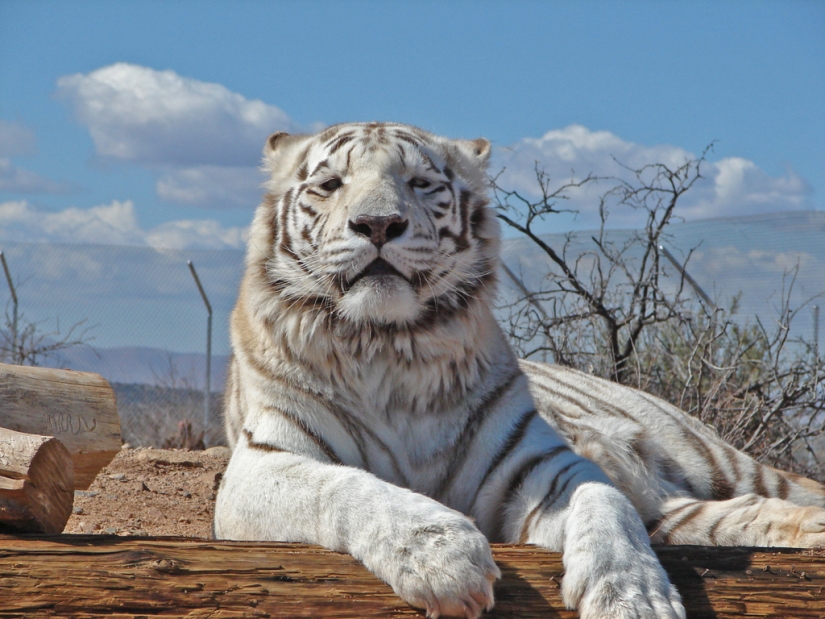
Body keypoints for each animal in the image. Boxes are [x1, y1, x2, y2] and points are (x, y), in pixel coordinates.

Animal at [214, 122, 824, 619]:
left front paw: (633, 595)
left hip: (710, 456)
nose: (379, 224)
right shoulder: (261, 465)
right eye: (331, 184)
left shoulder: (539, 466)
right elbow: (345, 486)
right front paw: (441, 557)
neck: (391, 347)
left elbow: (605, 503)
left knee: (777, 487)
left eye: (419, 183)